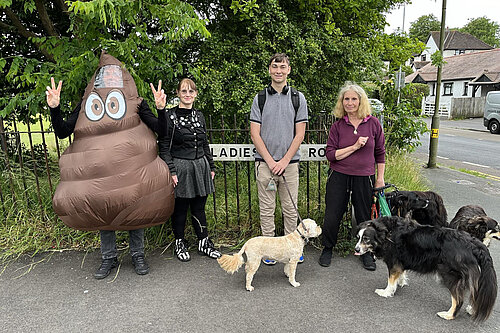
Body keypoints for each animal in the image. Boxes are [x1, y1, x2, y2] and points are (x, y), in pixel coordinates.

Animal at [356, 215, 496, 322]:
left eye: (366, 239)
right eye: (358, 238)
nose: (356, 249)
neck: (386, 232)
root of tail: (474, 243)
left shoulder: (393, 261)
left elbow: (391, 279)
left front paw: (386, 292)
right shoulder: (400, 262)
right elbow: (400, 274)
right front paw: (400, 282)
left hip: (450, 275)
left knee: (459, 299)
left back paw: (448, 315)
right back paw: (471, 309)